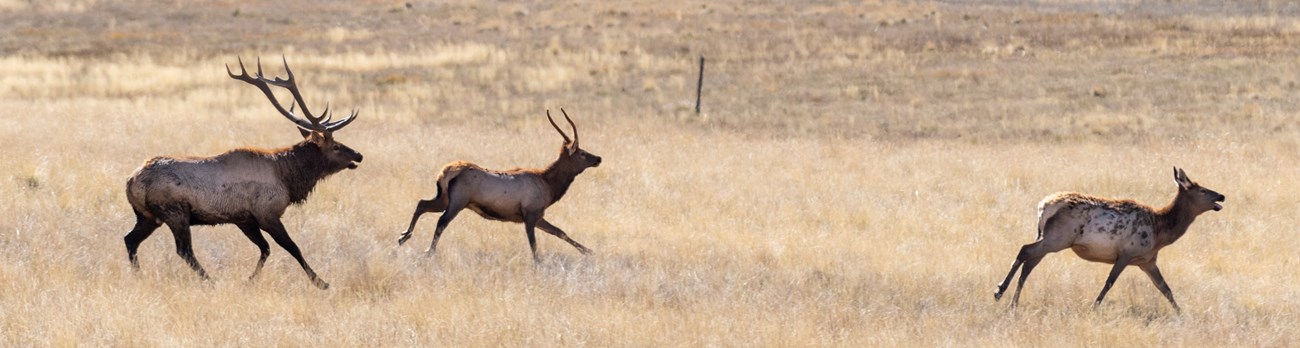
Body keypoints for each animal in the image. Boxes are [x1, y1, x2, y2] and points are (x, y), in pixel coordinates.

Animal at [122, 57, 361, 289]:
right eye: (336, 146)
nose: (358, 155)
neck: (288, 178)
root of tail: (131, 181)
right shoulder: (267, 213)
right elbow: (292, 248)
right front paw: (321, 282)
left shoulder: (244, 219)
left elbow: (265, 248)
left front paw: (250, 279)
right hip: (175, 213)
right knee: (184, 250)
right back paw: (210, 281)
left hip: (147, 216)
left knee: (130, 239)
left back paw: (139, 275)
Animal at [397, 107, 600, 261]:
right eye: (582, 153)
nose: (598, 158)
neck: (548, 185)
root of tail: (446, 171)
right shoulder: (530, 213)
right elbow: (534, 245)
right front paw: (539, 264)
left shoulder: (537, 215)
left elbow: (559, 231)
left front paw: (590, 251)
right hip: (458, 202)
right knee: (441, 221)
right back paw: (427, 251)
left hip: (444, 198)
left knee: (422, 203)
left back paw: (404, 236)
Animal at [987, 167, 1222, 311]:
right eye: (1202, 190)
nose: (1221, 196)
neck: (1160, 231)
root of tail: (1043, 206)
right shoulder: (1127, 252)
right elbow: (1109, 282)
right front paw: (1094, 307)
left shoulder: (1147, 261)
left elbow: (1166, 289)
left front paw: (1182, 314)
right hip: (1058, 238)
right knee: (1025, 250)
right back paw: (999, 291)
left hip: (1047, 237)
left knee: (1029, 263)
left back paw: (1012, 303)